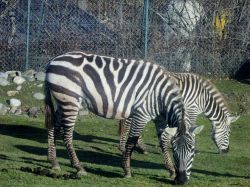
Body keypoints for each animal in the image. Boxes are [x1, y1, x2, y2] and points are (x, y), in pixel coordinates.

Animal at [45, 50, 199, 184]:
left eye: (192, 150)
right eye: (176, 152)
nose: (181, 181)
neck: (161, 97)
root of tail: (53, 60)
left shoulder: (159, 120)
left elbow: (164, 142)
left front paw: (171, 170)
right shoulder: (141, 115)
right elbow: (131, 142)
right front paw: (127, 170)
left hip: (60, 101)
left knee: (53, 127)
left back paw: (54, 162)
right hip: (70, 99)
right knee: (66, 134)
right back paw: (78, 167)